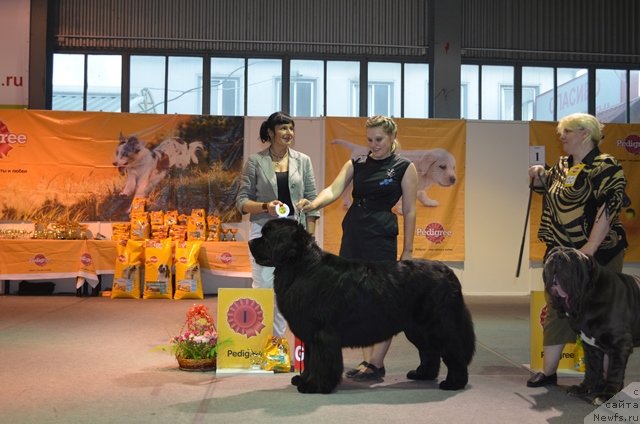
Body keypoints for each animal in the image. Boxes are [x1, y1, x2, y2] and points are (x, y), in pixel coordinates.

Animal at [249, 219, 476, 394]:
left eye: (267, 235)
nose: (250, 242)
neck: (301, 267)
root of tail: (447, 271)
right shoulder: (310, 335)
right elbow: (311, 360)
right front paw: (303, 379)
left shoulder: (322, 333)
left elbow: (321, 361)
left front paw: (315, 386)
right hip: (418, 328)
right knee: (430, 351)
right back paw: (422, 374)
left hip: (439, 324)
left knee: (454, 352)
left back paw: (453, 383)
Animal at [544, 245, 640, 404]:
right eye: (552, 252)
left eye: (574, 258)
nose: (557, 257)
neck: (585, 299)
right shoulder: (590, 346)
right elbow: (592, 368)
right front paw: (585, 388)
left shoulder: (620, 344)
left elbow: (614, 372)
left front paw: (607, 395)